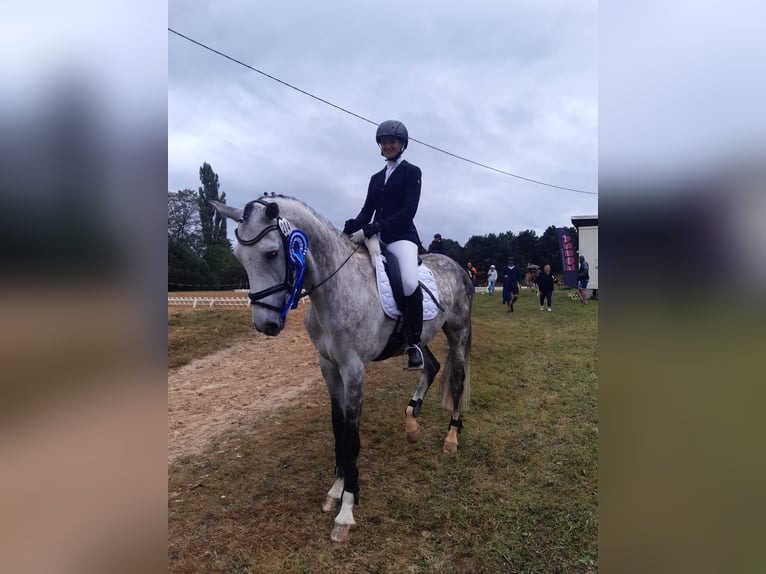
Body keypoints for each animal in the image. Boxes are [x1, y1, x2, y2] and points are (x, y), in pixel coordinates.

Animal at [212, 196, 474, 544]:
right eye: (239, 258)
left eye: (271, 253)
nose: (265, 325)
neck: (335, 288)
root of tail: (458, 267)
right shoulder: (329, 368)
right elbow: (337, 429)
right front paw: (335, 490)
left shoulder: (354, 371)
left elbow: (351, 436)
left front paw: (346, 511)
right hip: (417, 340)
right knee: (430, 367)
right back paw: (411, 422)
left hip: (457, 333)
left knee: (456, 380)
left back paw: (452, 439)